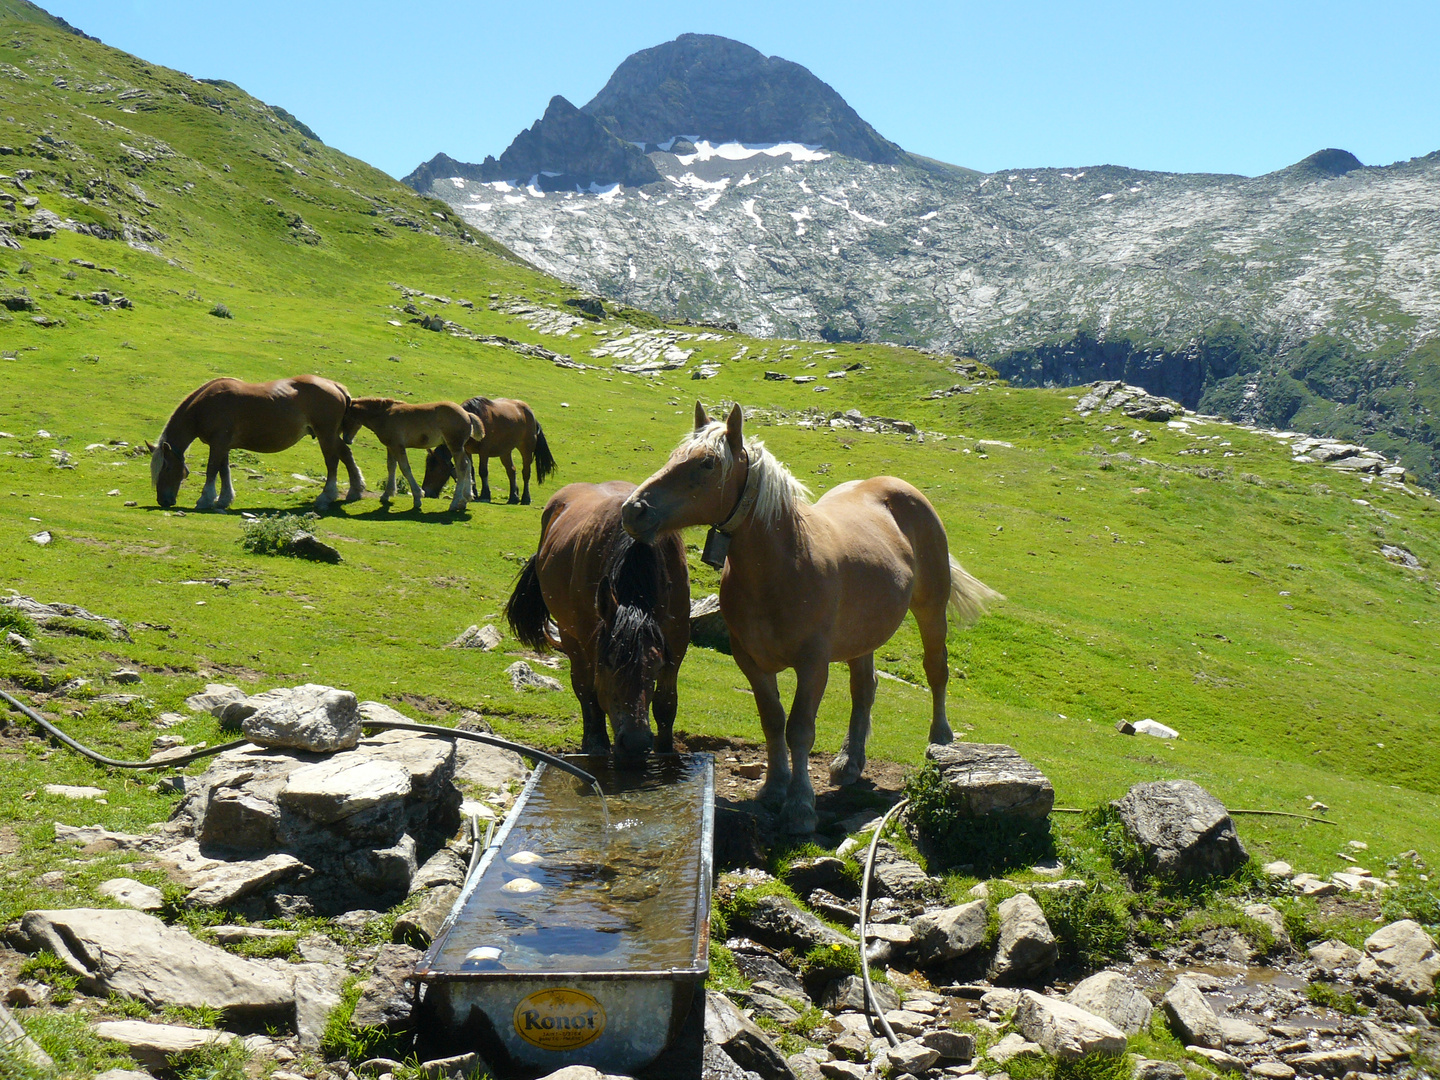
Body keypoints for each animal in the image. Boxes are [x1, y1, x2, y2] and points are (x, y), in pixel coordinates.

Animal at [149, 374, 365, 512]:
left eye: (166, 467)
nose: (163, 501)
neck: (204, 406)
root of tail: (336, 386)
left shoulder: (218, 444)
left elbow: (212, 470)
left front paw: (205, 499)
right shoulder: (223, 446)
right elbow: (224, 471)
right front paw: (224, 499)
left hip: (325, 434)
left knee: (332, 462)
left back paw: (326, 496)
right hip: (331, 435)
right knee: (346, 454)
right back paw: (355, 490)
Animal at [342, 400, 483, 512]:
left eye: (346, 418)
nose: (346, 439)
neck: (385, 414)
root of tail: (467, 415)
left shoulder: (398, 446)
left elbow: (405, 469)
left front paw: (417, 498)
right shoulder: (390, 446)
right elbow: (391, 467)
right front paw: (387, 494)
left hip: (454, 446)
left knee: (462, 467)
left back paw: (455, 503)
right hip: (459, 447)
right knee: (467, 464)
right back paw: (465, 500)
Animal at [420, 397, 555, 506]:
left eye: (433, 468)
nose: (426, 491)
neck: (474, 420)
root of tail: (530, 414)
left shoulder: (484, 451)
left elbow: (483, 471)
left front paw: (485, 494)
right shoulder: (467, 451)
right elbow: (471, 471)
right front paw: (474, 493)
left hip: (526, 449)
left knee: (526, 473)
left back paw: (525, 498)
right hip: (505, 452)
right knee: (511, 471)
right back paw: (513, 497)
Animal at [504, 480, 688, 760]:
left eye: (655, 666)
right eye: (609, 663)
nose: (635, 743)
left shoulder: (676, 641)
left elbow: (666, 703)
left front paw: (666, 750)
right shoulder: (590, 640)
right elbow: (591, 692)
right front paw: (597, 745)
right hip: (571, 635)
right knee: (583, 687)